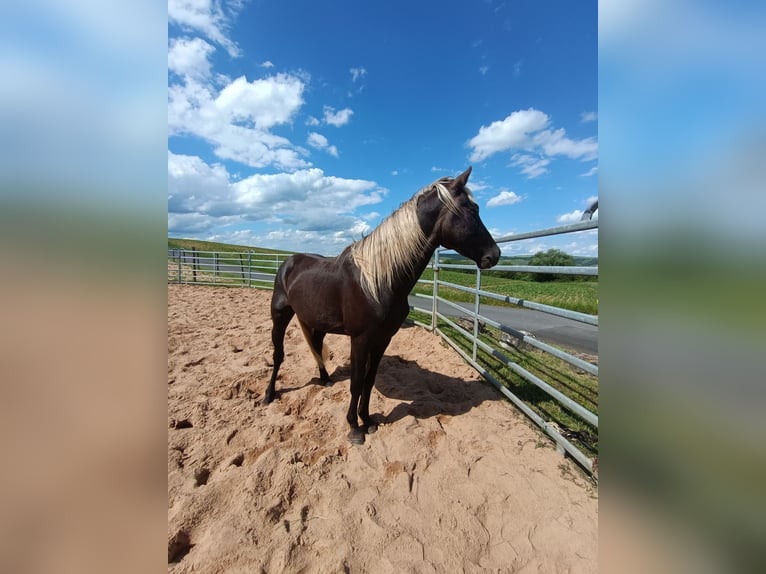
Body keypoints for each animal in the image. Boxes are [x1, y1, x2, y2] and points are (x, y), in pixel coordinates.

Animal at [266, 166, 504, 446]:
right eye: (472, 209)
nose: (494, 255)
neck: (378, 280)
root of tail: (288, 262)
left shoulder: (383, 339)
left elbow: (369, 381)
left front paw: (368, 420)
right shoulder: (359, 340)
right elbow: (356, 382)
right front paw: (354, 427)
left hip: (317, 321)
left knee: (315, 345)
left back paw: (325, 380)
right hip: (280, 315)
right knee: (279, 355)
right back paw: (269, 394)